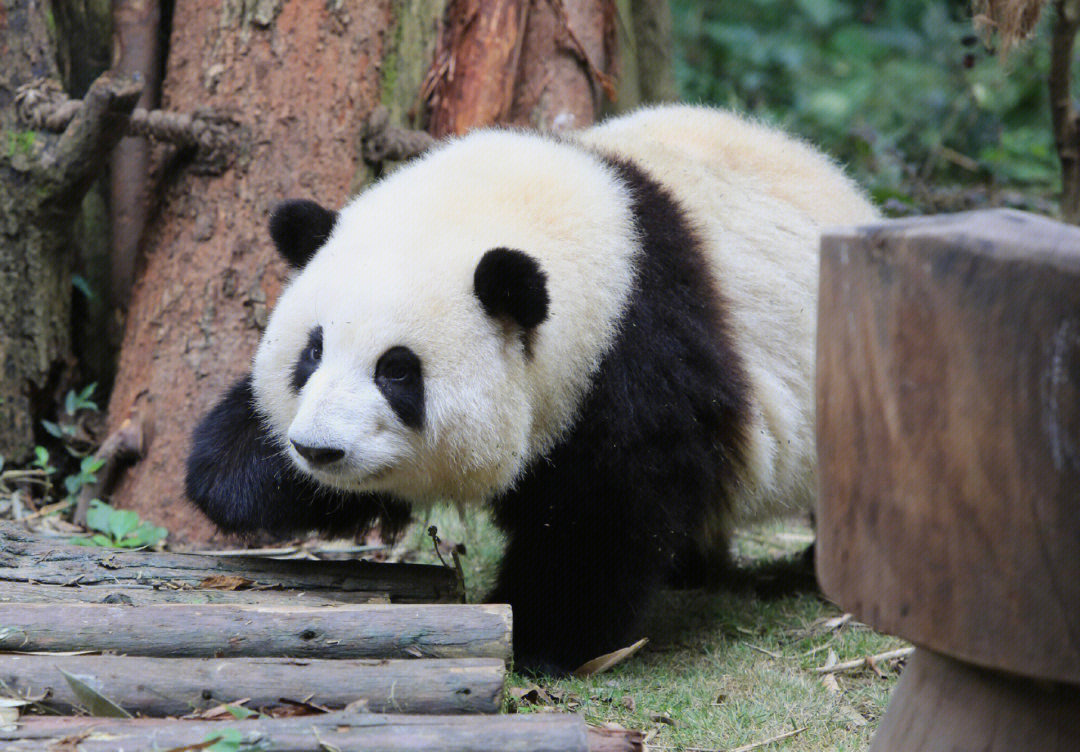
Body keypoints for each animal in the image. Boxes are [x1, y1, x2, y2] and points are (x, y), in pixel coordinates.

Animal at [185, 104, 876, 674]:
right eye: (313, 350)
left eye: (397, 370)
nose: (318, 450)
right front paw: (239, 473)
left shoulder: (633, 355)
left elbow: (605, 510)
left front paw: (545, 639)